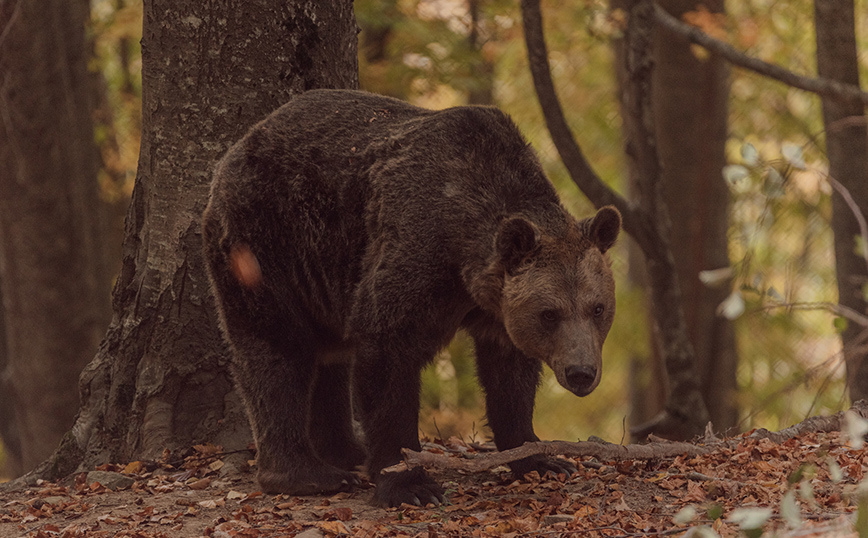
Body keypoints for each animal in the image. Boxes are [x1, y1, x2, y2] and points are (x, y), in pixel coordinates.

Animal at [200, 89, 620, 506]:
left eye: (597, 308)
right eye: (550, 313)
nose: (581, 372)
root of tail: (238, 147)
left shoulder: (498, 309)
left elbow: (509, 377)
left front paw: (541, 459)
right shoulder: (417, 253)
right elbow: (387, 356)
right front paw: (409, 483)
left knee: (330, 358)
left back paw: (347, 452)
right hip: (267, 242)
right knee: (277, 350)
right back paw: (307, 473)